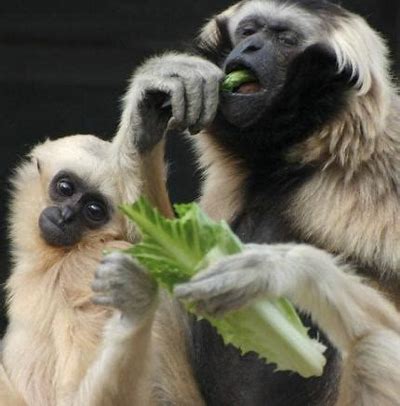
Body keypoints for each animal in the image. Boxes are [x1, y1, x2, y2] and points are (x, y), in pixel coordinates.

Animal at [110, 0, 400, 404]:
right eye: (249, 31)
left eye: (284, 38)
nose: (251, 48)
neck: (298, 163)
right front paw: (152, 98)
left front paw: (275, 269)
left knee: (376, 348)